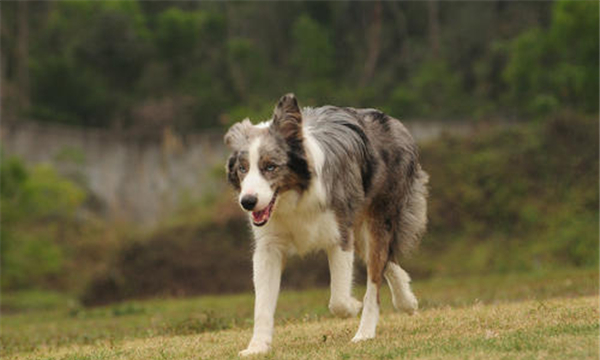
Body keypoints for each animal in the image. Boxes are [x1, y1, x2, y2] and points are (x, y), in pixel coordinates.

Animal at [224, 94, 426, 356]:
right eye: (243, 168)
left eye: (270, 167)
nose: (247, 202)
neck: (295, 196)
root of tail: (392, 120)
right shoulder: (269, 247)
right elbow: (262, 305)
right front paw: (257, 347)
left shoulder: (339, 236)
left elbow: (338, 300)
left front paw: (353, 306)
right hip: (360, 227)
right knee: (385, 261)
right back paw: (407, 301)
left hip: (376, 220)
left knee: (375, 277)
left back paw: (365, 332)